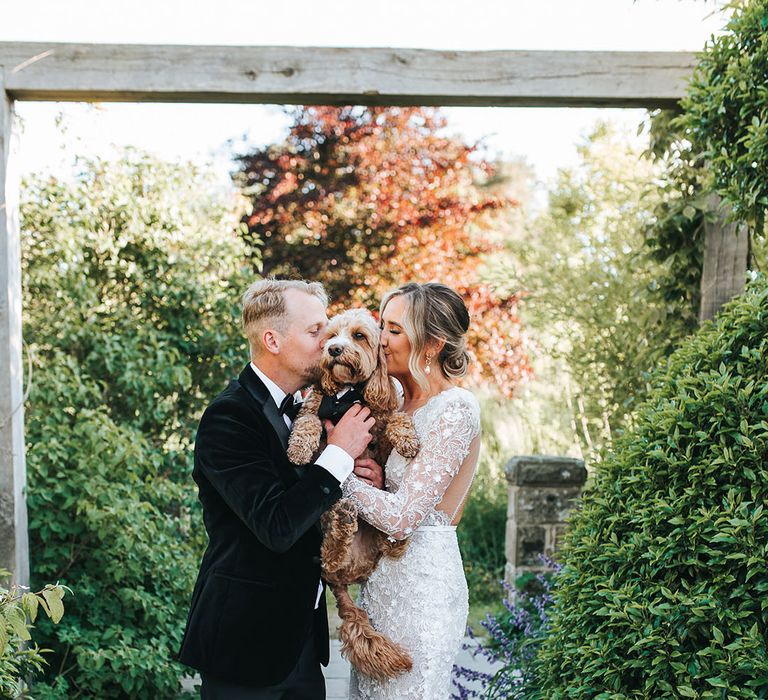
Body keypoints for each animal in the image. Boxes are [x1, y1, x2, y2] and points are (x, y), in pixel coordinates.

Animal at [288, 308, 420, 680]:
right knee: (328, 559)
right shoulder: (314, 407)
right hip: (325, 530)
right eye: (331, 335)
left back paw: (397, 538)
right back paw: (345, 524)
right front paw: (299, 449)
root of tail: (352, 575)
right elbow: (307, 424)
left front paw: (408, 439)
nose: (333, 350)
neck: (349, 395)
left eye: (359, 336)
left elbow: (397, 419)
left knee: (389, 543)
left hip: (375, 540)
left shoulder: (382, 419)